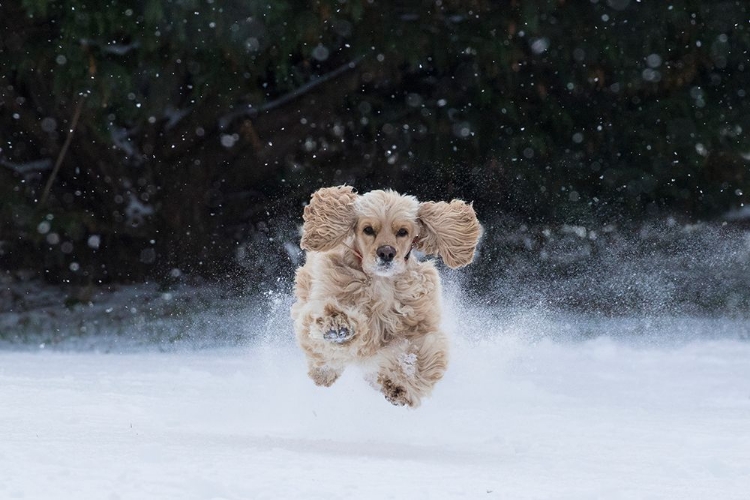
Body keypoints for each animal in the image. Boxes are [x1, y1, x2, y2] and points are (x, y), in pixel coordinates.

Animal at [290, 186, 484, 408]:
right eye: (368, 229)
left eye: (403, 232)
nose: (386, 253)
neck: (380, 282)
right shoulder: (325, 297)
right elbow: (323, 321)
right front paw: (337, 324)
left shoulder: (420, 326)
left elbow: (419, 353)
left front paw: (399, 385)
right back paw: (325, 368)